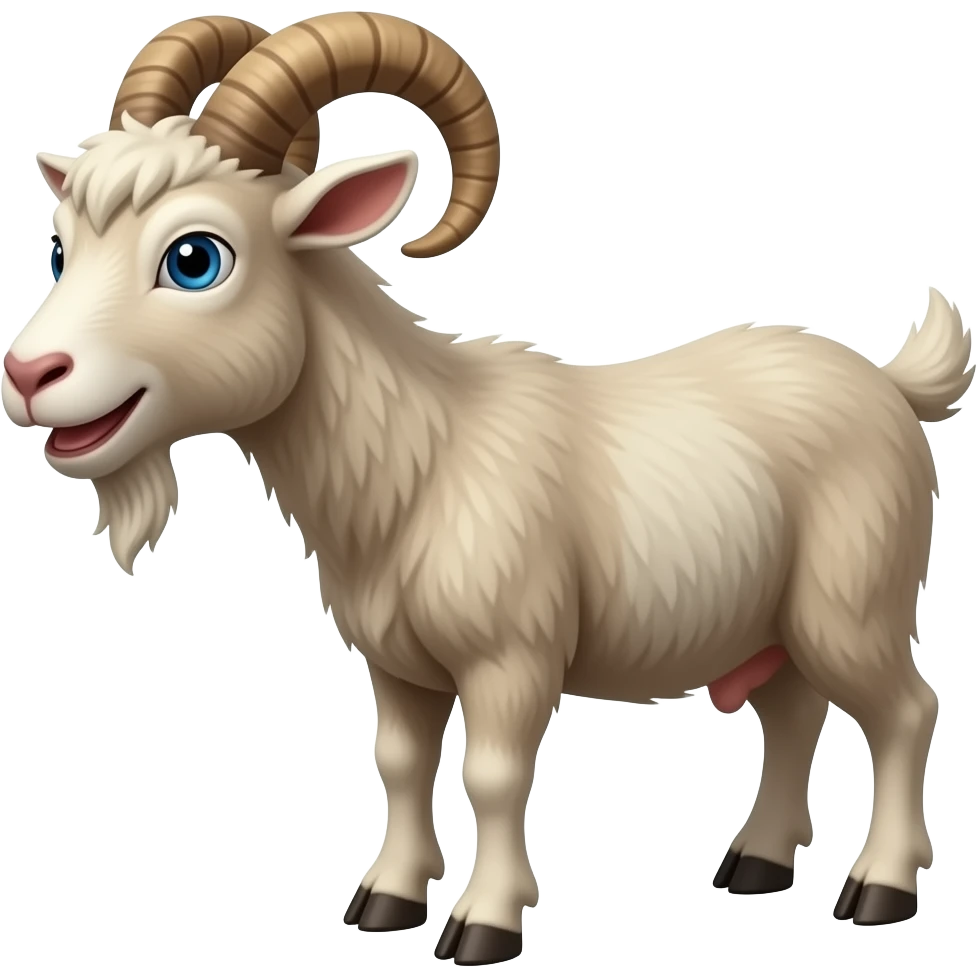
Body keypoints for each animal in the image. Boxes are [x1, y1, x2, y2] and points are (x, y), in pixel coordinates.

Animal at [3, 12, 971, 965]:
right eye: (59, 247)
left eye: (196, 258)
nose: (28, 374)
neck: (424, 457)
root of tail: (891, 384)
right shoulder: (397, 664)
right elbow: (398, 762)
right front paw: (387, 900)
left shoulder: (514, 657)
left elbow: (494, 776)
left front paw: (485, 925)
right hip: (770, 622)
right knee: (795, 713)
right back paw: (759, 863)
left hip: (851, 604)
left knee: (906, 712)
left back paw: (881, 887)